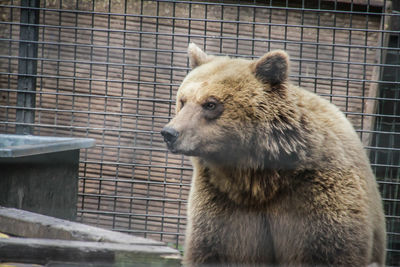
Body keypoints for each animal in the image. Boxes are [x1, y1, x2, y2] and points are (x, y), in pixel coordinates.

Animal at [161, 43, 386, 266]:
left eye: (211, 103)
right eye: (183, 100)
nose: (169, 133)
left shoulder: (316, 193)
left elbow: (327, 249)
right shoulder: (223, 200)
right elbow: (217, 249)